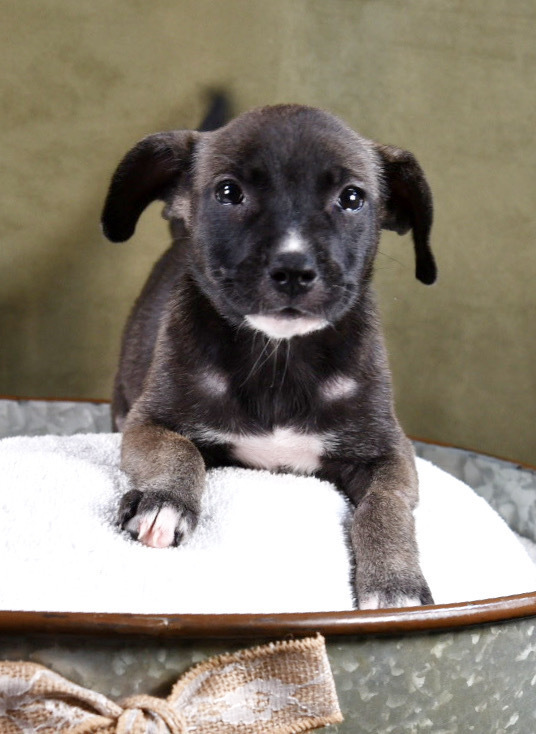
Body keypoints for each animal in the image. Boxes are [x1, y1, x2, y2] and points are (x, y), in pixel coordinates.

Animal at [100, 102, 436, 608]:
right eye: (228, 192)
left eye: (352, 198)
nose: (294, 269)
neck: (280, 357)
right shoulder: (148, 422)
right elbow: (180, 451)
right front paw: (165, 503)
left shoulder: (391, 454)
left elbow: (385, 506)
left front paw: (394, 583)